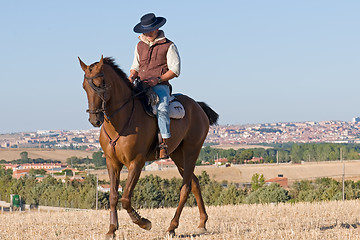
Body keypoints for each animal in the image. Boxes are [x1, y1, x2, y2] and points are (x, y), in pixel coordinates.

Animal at [78, 55, 218, 237]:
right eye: (85, 86)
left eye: (101, 84)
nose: (95, 120)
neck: (121, 121)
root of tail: (197, 106)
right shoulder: (112, 163)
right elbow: (114, 196)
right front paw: (112, 229)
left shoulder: (136, 163)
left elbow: (125, 198)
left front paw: (143, 222)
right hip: (178, 156)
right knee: (194, 183)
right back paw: (202, 223)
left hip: (191, 151)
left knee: (185, 187)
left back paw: (172, 227)